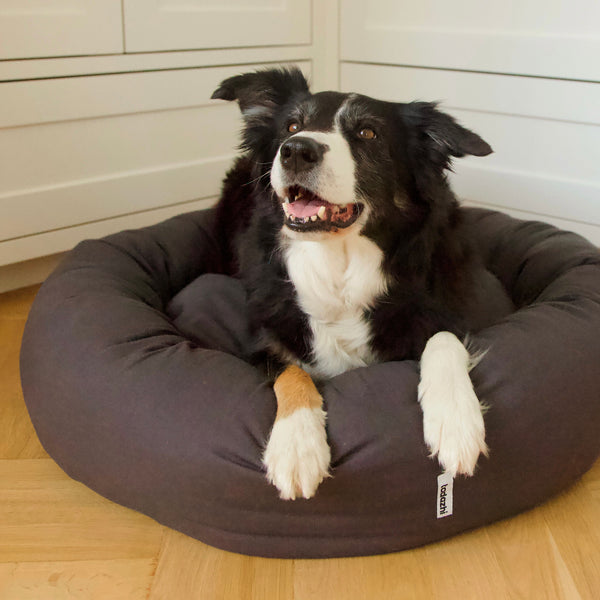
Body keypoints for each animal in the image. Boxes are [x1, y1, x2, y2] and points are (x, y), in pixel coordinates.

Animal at [210, 68, 510, 500]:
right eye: (292, 126)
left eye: (368, 133)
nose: (295, 150)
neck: (339, 262)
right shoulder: (269, 339)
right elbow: (292, 372)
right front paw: (296, 446)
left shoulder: (444, 310)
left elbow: (443, 339)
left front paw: (456, 421)